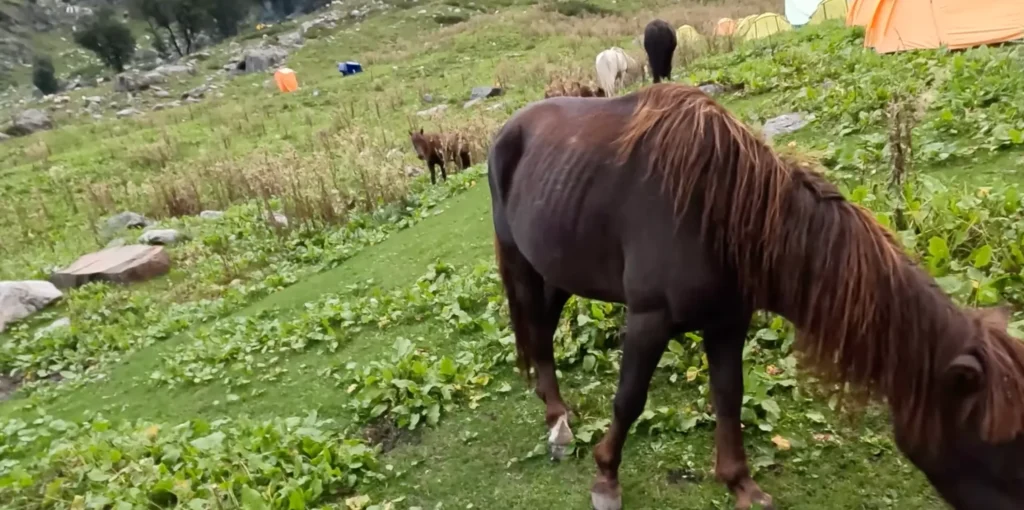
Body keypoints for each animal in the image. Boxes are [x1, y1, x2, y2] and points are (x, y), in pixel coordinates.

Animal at [487, 82, 1024, 510]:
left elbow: (729, 397)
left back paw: (554, 407)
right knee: (535, 328)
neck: (718, 208)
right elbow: (629, 399)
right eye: (1002, 443)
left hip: (558, 266)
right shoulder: (648, 319)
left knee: (542, 329)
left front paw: (740, 483)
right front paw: (606, 477)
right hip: (520, 260)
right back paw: (556, 417)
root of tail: (509, 127)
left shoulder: (729, 321)